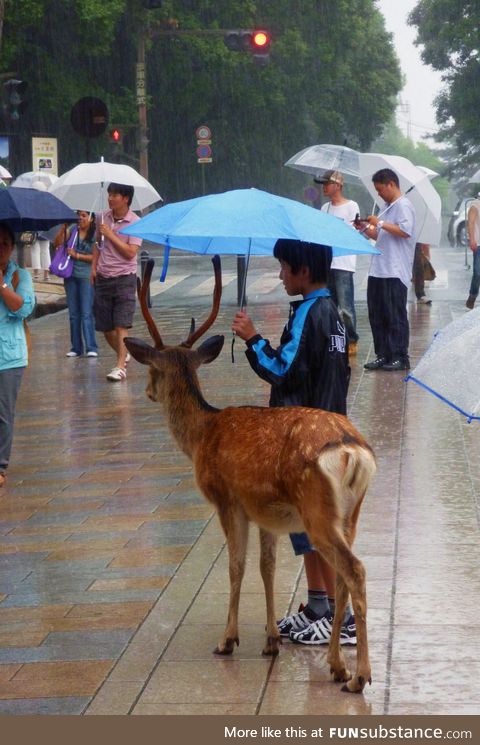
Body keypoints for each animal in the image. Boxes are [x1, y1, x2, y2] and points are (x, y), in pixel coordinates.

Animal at [125, 256, 376, 692]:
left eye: (152, 371)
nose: (148, 393)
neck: (201, 435)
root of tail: (352, 450)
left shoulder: (228, 499)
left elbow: (236, 566)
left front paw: (228, 640)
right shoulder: (266, 513)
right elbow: (267, 567)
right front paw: (271, 640)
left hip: (318, 511)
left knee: (355, 571)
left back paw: (358, 675)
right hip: (350, 513)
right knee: (344, 575)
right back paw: (336, 665)